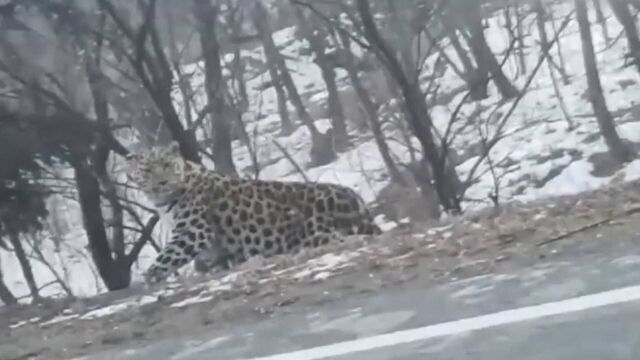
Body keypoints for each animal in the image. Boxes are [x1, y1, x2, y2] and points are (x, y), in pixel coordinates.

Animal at [125, 141, 382, 284]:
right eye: (147, 170)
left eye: (167, 164)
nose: (162, 182)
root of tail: (357, 202)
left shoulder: (194, 231)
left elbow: (167, 256)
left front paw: (150, 278)